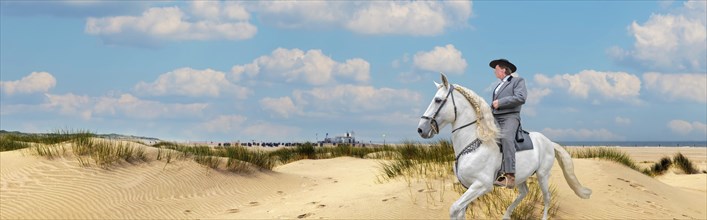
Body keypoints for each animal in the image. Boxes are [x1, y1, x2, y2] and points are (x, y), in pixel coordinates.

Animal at [414, 73, 592, 219]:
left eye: (437, 100)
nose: (421, 129)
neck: (475, 143)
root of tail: (548, 141)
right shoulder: (468, 187)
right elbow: (459, 211)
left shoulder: (482, 185)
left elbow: (453, 208)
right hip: (520, 176)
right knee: (524, 193)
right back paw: (506, 216)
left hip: (543, 175)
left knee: (547, 197)